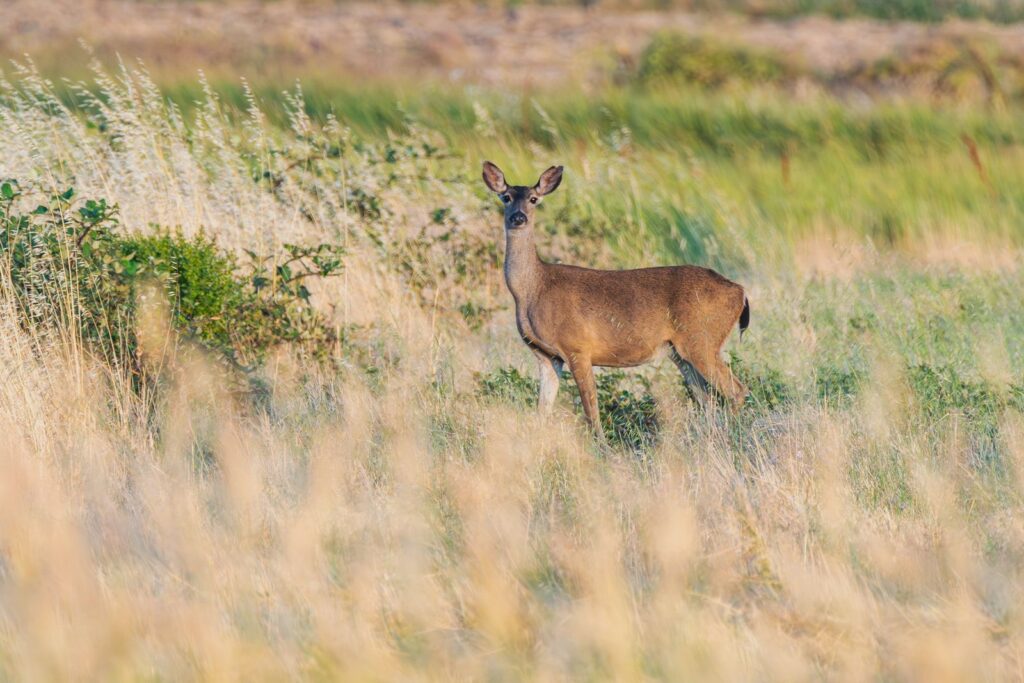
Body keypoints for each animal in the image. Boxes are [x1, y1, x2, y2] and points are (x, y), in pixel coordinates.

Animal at [482, 161, 750, 435]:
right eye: (506, 197)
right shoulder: (547, 356)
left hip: (702, 338)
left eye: (534, 199)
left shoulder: (577, 346)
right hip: (680, 352)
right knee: (708, 398)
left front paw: (599, 442)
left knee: (736, 391)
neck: (533, 289)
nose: (518, 217)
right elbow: (542, 411)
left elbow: (591, 411)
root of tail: (739, 291)